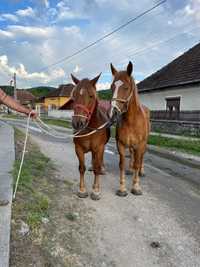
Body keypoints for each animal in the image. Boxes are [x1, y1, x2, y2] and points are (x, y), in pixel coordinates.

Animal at [70, 73, 111, 201]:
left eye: (91, 96)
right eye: (73, 96)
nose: (78, 123)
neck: (89, 128)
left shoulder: (99, 148)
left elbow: (97, 168)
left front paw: (96, 190)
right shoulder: (78, 149)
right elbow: (81, 168)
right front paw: (82, 190)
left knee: (99, 163)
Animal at [109, 62, 150, 197]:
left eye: (126, 87)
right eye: (112, 87)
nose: (113, 112)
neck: (132, 120)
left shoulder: (140, 144)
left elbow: (137, 162)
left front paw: (136, 187)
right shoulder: (120, 144)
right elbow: (121, 164)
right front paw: (122, 189)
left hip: (143, 144)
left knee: (141, 157)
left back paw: (141, 171)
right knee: (132, 154)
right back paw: (130, 169)